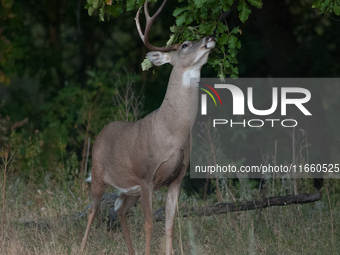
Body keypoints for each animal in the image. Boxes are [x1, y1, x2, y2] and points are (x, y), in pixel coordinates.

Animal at [80, 0, 215, 254]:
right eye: (185, 44)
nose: (210, 36)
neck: (173, 132)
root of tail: (101, 132)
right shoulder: (146, 174)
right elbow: (149, 224)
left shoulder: (177, 177)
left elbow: (169, 225)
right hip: (99, 173)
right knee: (93, 209)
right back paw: (81, 247)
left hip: (129, 189)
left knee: (119, 208)